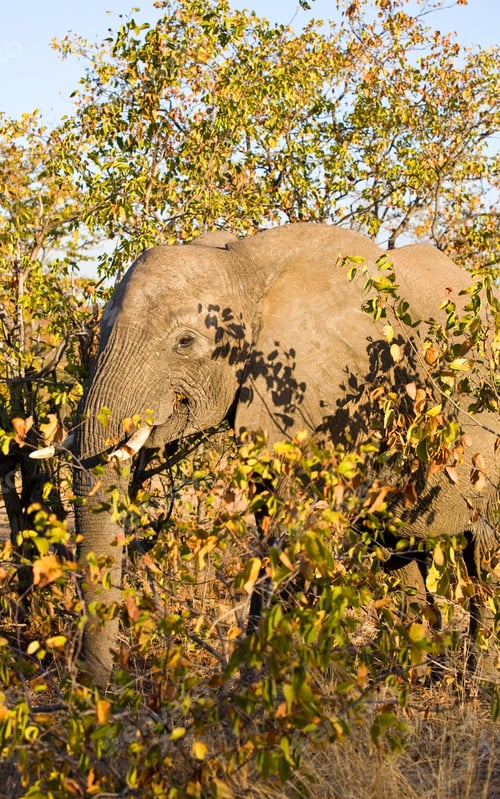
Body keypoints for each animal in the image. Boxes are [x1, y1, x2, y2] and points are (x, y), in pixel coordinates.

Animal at [52, 223, 498, 686]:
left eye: (185, 342)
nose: (89, 682)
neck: (246, 265)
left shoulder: (343, 392)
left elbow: (297, 526)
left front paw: (262, 685)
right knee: (400, 552)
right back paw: (415, 678)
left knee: (484, 558)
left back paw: (475, 682)